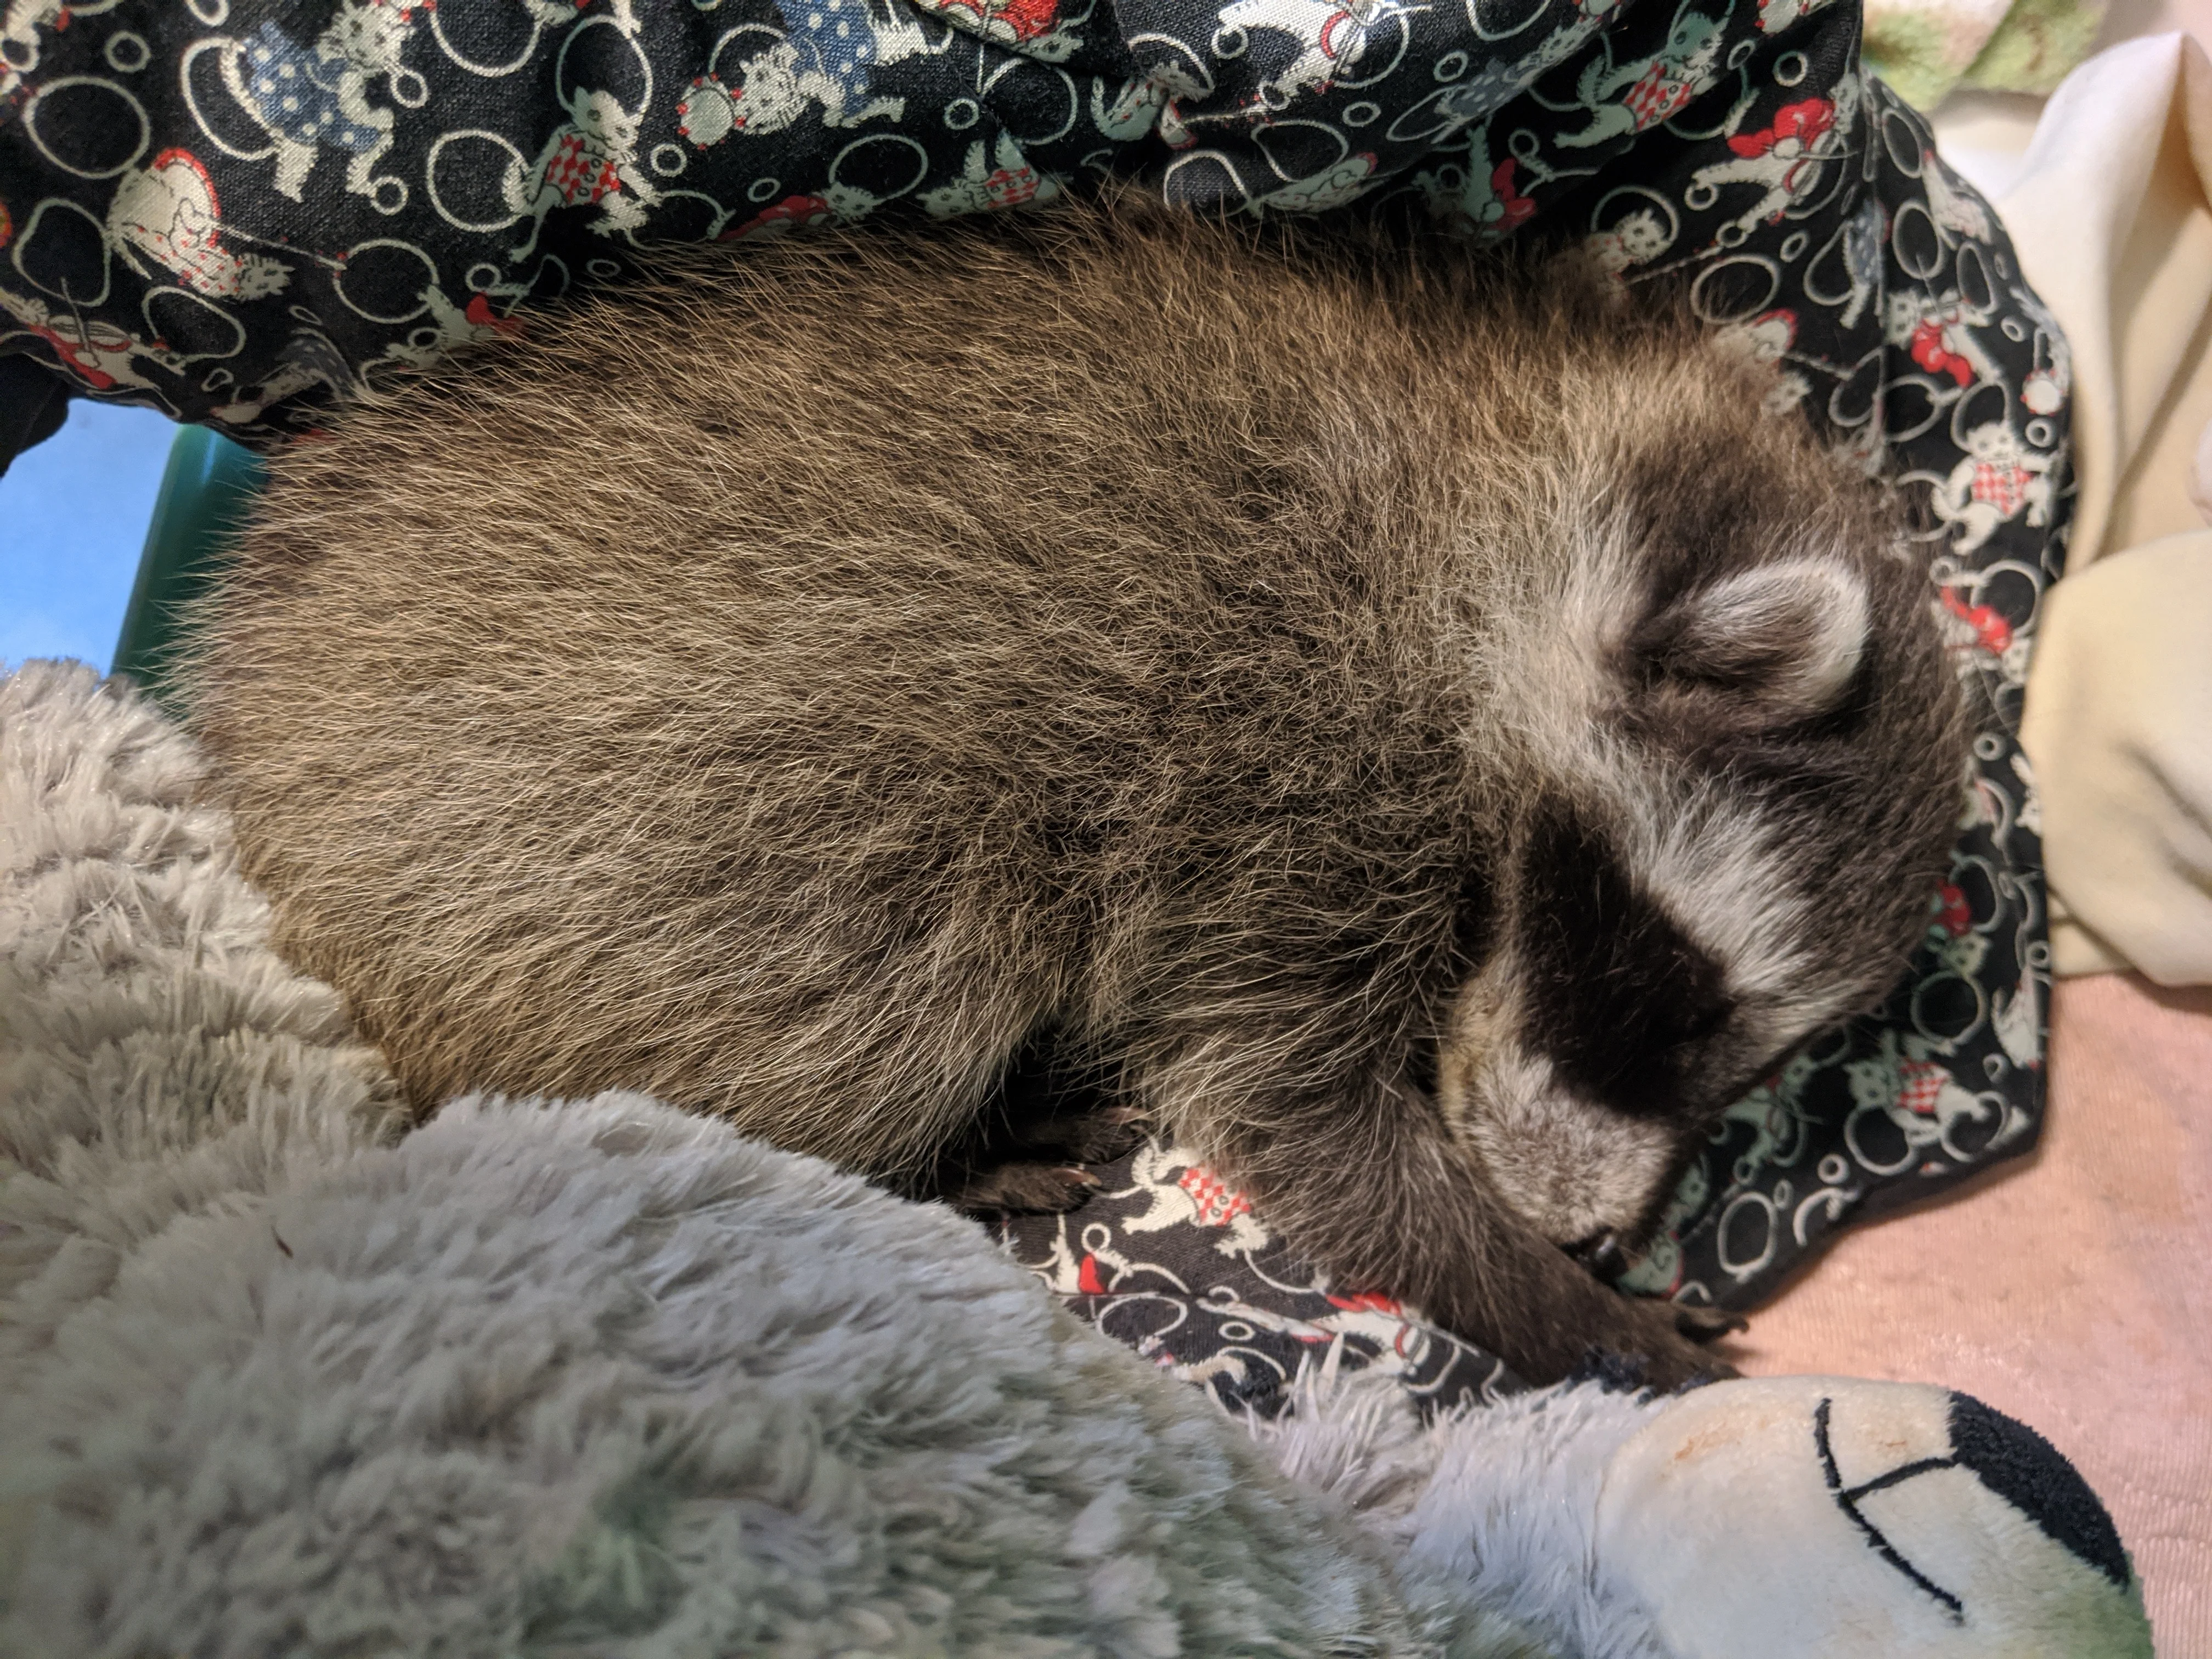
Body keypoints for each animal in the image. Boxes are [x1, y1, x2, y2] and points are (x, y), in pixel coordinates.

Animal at [185, 196, 1969, 1388]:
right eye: (1651, 967)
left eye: (1759, 1052)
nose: (1590, 1229)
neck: (1528, 447)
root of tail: (255, 745)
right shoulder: (1303, 739)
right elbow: (1293, 1109)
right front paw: (1554, 1299)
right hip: (663, 809)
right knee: (885, 966)